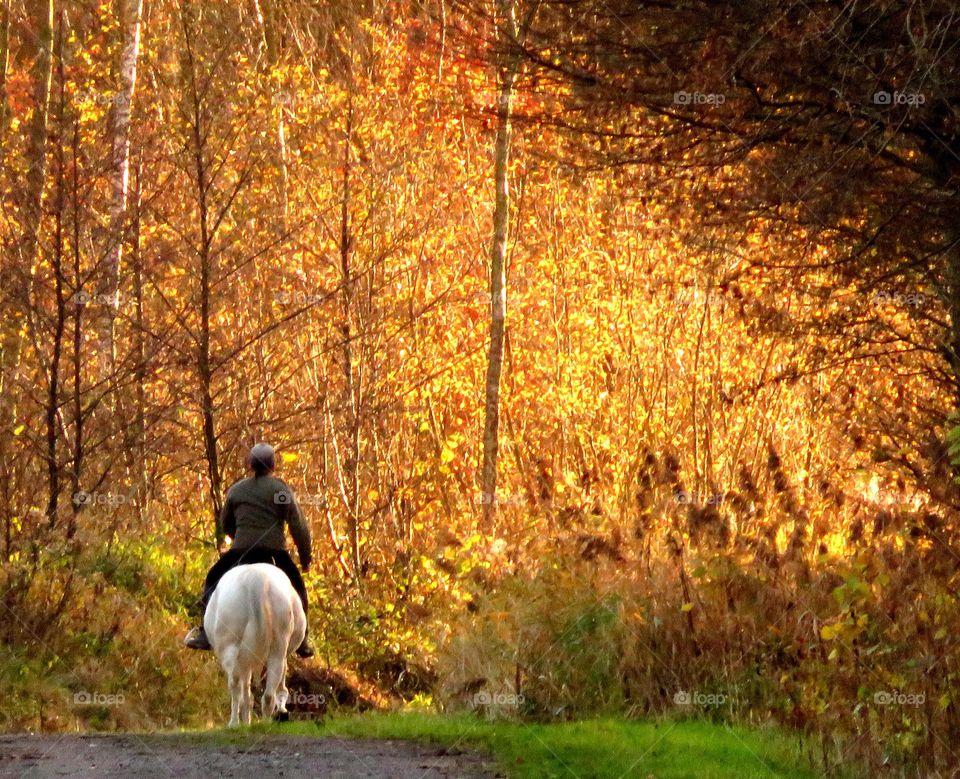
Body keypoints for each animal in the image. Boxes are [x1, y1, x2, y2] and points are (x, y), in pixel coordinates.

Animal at [204, 564, 306, 728]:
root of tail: (256, 578)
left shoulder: (243, 660)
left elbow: (245, 689)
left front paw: (246, 719)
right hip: (276, 649)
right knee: (269, 692)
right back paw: (265, 722)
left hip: (230, 649)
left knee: (235, 685)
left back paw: (235, 723)